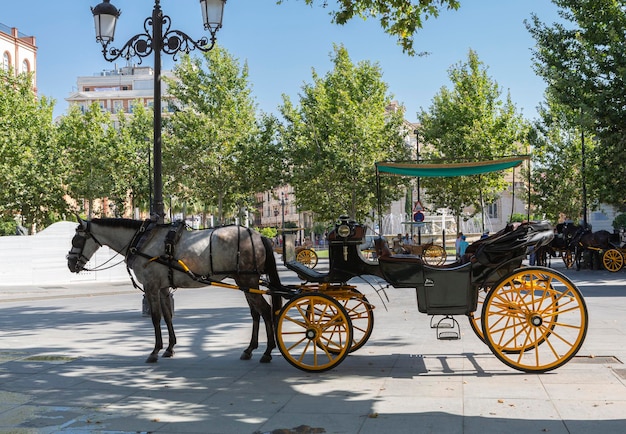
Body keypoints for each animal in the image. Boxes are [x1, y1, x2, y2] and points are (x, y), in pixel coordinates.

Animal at [66, 217, 280, 362]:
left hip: (247, 280)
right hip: (245, 282)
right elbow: (168, 315)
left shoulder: (151, 287)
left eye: (76, 240)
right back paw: (250, 349)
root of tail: (259, 236)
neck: (143, 240)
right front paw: (169, 348)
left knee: (265, 311)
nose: (70, 264)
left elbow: (155, 317)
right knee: (256, 313)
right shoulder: (162, 287)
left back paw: (268, 351)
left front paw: (155, 351)